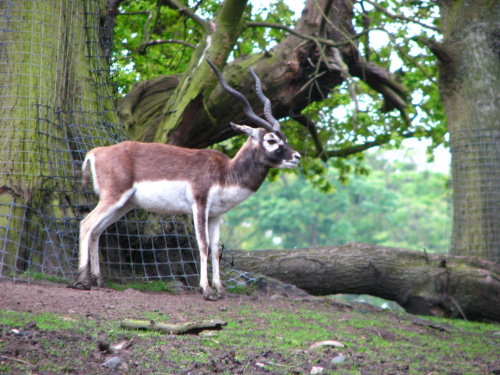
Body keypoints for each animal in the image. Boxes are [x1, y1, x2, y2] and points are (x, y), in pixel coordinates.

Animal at [74, 61, 300, 302]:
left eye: (284, 138)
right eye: (271, 140)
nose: (296, 157)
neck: (225, 172)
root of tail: (97, 152)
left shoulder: (216, 215)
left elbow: (215, 250)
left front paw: (220, 289)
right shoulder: (199, 205)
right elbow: (203, 245)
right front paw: (207, 290)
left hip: (124, 204)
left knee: (97, 230)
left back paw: (98, 280)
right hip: (113, 197)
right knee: (86, 224)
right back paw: (82, 281)